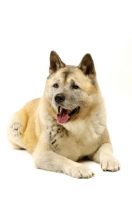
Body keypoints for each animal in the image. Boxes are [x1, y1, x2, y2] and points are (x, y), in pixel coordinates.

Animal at [6, 50, 120, 178]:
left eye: (75, 86)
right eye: (56, 85)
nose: (58, 97)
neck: (76, 127)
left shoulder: (104, 144)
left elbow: (106, 150)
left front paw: (110, 161)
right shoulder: (43, 154)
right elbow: (64, 160)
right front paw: (79, 167)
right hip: (15, 124)